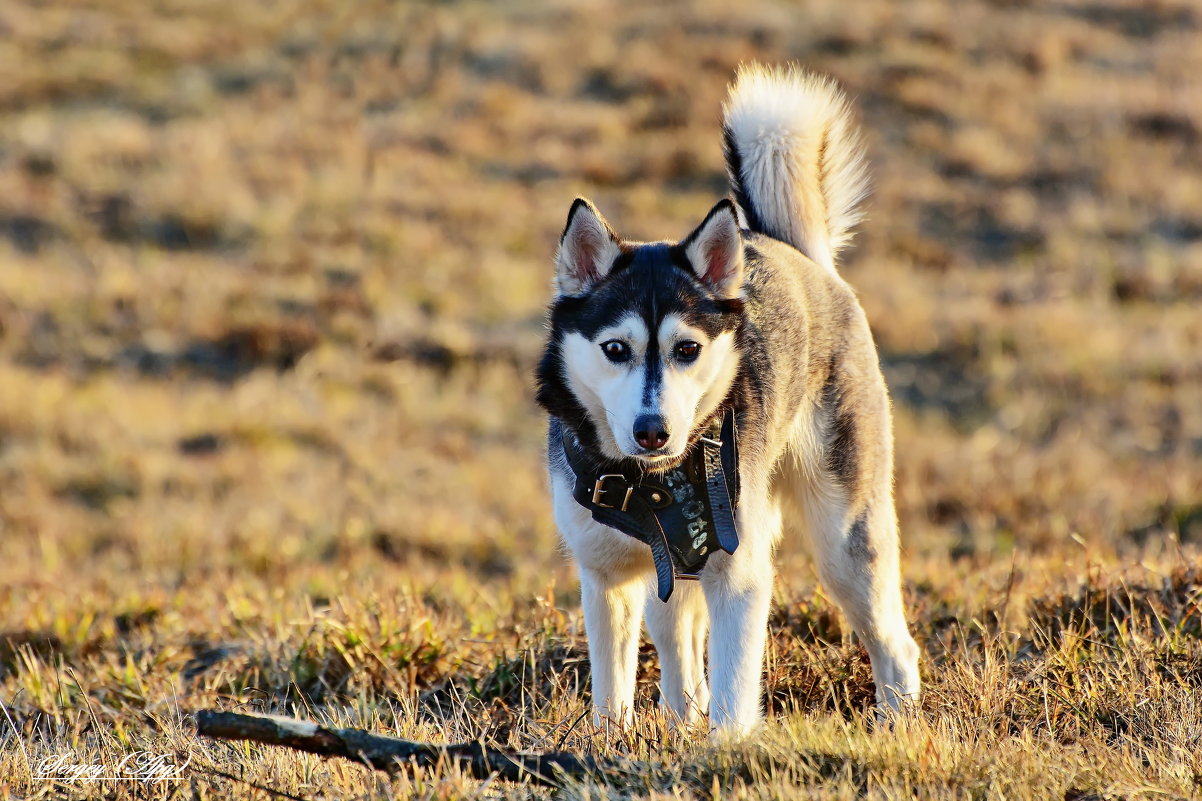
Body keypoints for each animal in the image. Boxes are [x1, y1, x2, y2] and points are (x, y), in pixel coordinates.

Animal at [536, 65, 918, 731]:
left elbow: (734, 694)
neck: (650, 485)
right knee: (678, 642)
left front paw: (726, 745)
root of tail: (798, 254)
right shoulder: (606, 577)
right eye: (615, 349)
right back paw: (680, 716)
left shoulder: (738, 573)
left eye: (687, 349)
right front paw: (614, 741)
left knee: (896, 644)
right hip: (675, 572)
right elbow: (612, 693)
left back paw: (901, 723)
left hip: (845, 541)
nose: (653, 430)